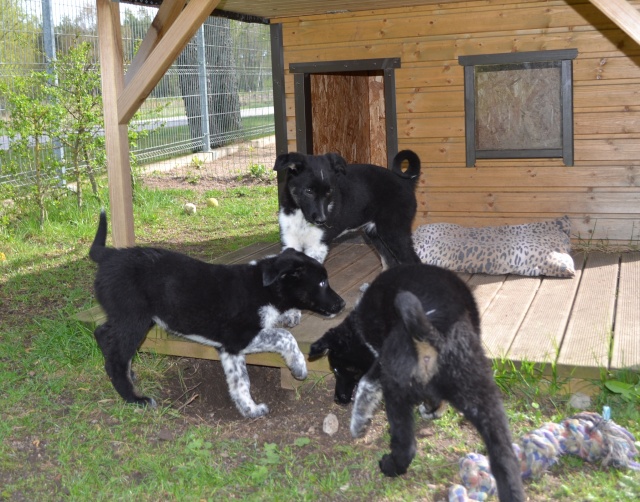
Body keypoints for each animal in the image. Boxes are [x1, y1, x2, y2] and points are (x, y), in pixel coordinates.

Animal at [89, 210, 345, 418]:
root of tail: (108, 256)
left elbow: (240, 381)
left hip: (125, 317)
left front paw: (249, 409)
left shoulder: (230, 350)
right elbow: (284, 336)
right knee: (117, 357)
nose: (342, 304)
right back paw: (134, 398)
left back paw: (126, 372)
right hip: (134, 319)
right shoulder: (237, 339)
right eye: (322, 283)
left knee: (102, 332)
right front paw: (298, 367)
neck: (262, 287)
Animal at [274, 150, 422, 268]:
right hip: (376, 234)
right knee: (390, 261)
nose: (322, 221)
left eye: (329, 191)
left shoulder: (317, 246)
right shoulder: (290, 242)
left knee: (413, 261)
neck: (300, 216)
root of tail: (406, 182)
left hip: (394, 231)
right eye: (308, 191)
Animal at [309, 265, 524, 501]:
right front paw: (433, 410)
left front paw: (359, 423)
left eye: (338, 370)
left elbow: (367, 384)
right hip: (483, 397)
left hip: (396, 388)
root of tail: (434, 335)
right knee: (504, 456)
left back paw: (390, 465)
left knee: (407, 444)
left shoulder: (379, 359)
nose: (338, 399)